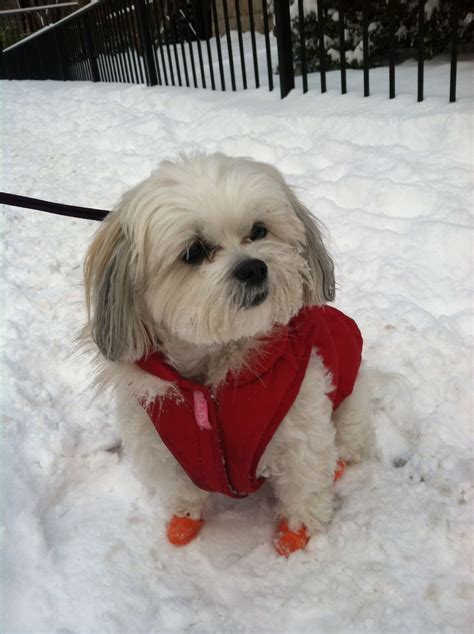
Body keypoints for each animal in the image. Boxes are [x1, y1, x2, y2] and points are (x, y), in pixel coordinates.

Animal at [84, 152, 374, 552]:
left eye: (258, 231)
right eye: (194, 251)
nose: (253, 267)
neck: (212, 377)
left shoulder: (302, 428)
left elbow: (305, 487)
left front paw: (295, 535)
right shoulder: (158, 441)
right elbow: (182, 489)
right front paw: (186, 518)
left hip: (349, 403)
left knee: (347, 440)